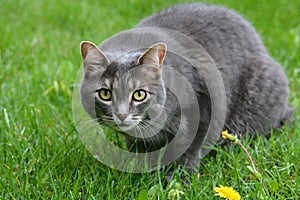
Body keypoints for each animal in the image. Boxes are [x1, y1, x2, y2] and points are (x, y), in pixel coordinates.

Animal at [79, 2, 292, 169]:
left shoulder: (204, 105)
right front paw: (136, 164)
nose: (122, 114)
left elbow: (188, 150)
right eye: (105, 94)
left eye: (139, 94)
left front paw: (177, 179)